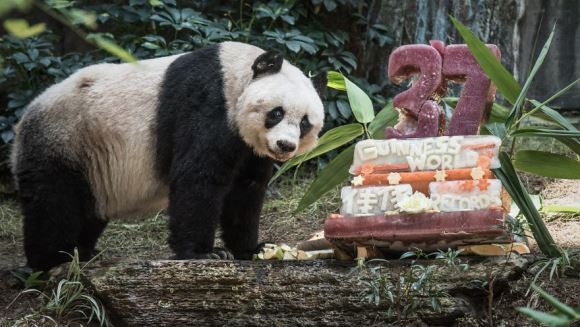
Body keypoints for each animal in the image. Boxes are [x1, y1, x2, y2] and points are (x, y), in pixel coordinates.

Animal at [11, 41, 326, 272]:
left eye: (304, 123)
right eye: (277, 113)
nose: (285, 145)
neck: (235, 76)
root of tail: (24, 117)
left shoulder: (249, 147)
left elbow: (245, 190)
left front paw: (253, 249)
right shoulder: (207, 104)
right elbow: (198, 178)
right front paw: (205, 254)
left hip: (92, 162)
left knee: (88, 209)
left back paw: (85, 251)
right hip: (64, 139)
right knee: (53, 202)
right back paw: (53, 259)